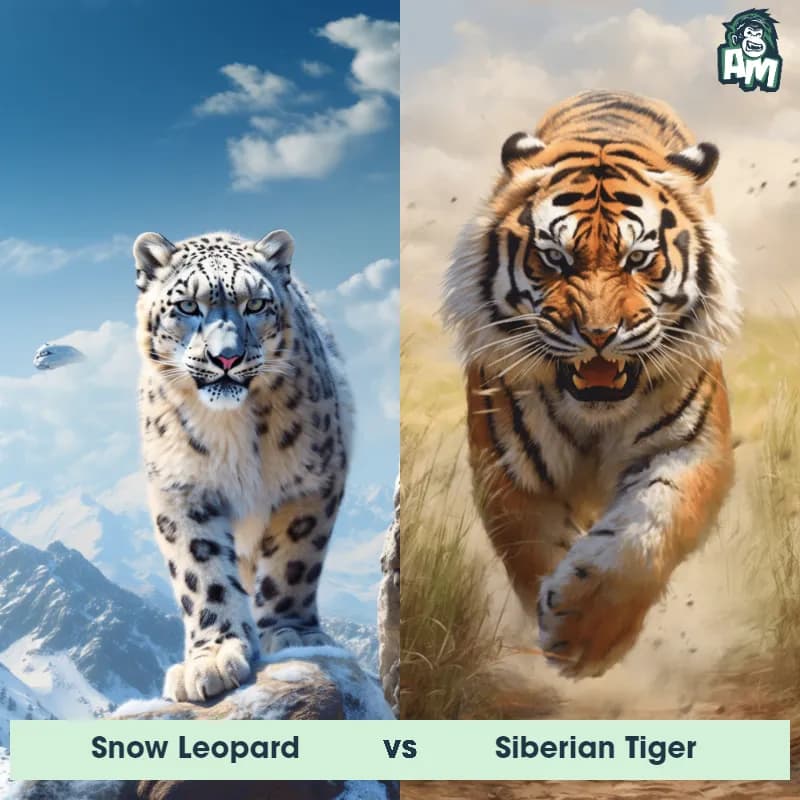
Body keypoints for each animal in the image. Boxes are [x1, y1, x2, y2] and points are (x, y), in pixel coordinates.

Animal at [442, 90, 740, 678]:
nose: (599, 335)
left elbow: (647, 530)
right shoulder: (508, 465)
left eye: (639, 258)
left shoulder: (694, 446)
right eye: (554, 258)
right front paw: (557, 628)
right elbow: (533, 547)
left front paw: (587, 632)